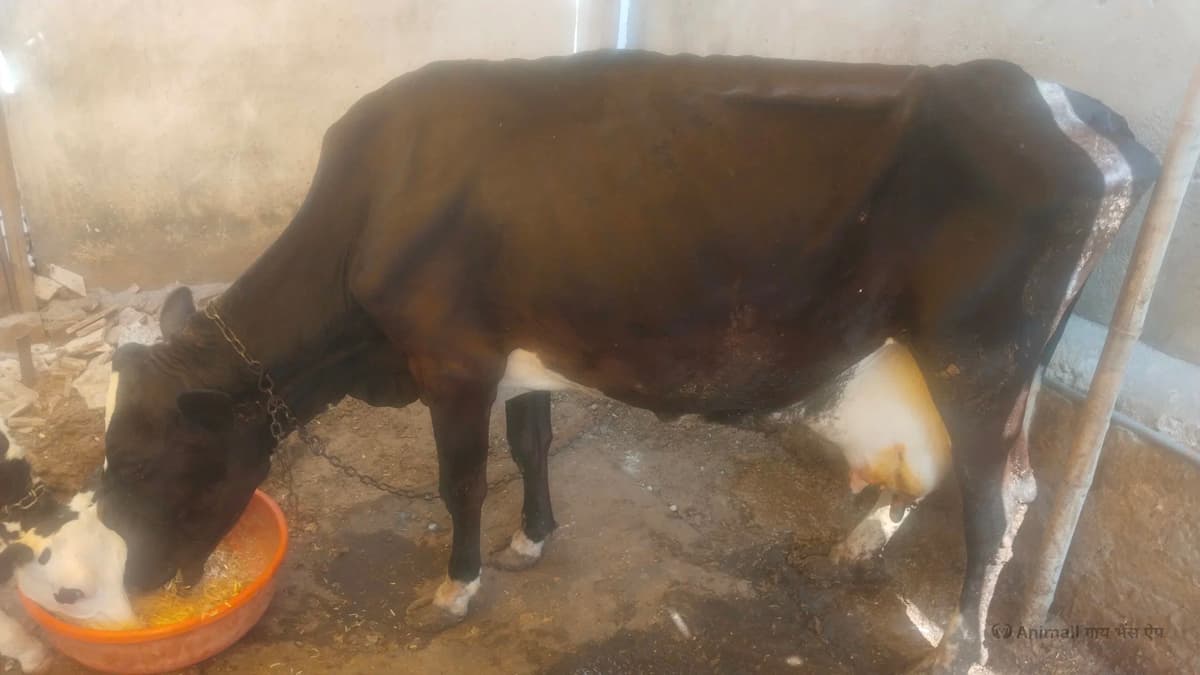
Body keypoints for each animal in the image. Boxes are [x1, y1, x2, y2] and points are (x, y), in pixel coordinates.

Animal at [97, 51, 1158, 673]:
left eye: (142, 460)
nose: (133, 582)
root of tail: (1066, 104)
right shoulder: (518, 350)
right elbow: (531, 444)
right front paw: (533, 539)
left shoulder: (453, 356)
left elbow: (460, 478)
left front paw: (456, 585)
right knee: (943, 467)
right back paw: (866, 541)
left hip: (986, 357)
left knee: (1002, 497)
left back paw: (962, 647)